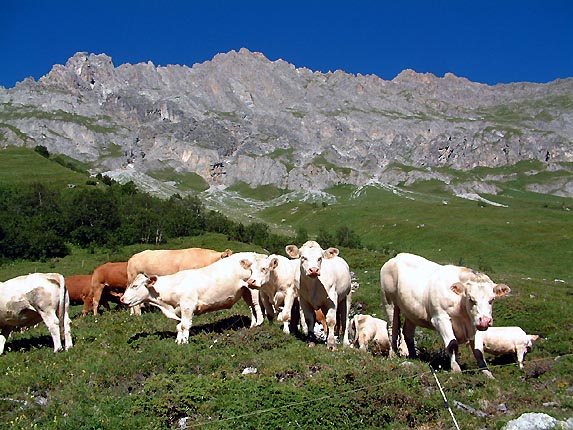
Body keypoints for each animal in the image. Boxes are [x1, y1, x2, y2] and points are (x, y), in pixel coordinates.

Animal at [122, 250, 264, 344]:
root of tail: (253, 254)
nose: (122, 299)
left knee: (256, 305)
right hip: (245, 291)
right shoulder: (178, 310)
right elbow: (179, 326)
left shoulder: (187, 306)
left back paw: (259, 323)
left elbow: (185, 326)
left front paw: (185, 343)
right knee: (251, 307)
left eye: (135, 286)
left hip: (253, 288)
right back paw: (252, 325)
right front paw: (178, 341)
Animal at [380, 252, 510, 376]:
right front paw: (456, 369)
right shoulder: (440, 318)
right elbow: (453, 344)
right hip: (389, 301)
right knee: (393, 328)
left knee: (408, 331)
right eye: (471, 299)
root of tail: (397, 257)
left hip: (411, 311)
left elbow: (478, 351)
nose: (485, 320)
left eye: (492, 299)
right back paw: (393, 355)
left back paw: (413, 356)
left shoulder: (475, 323)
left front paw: (487, 372)